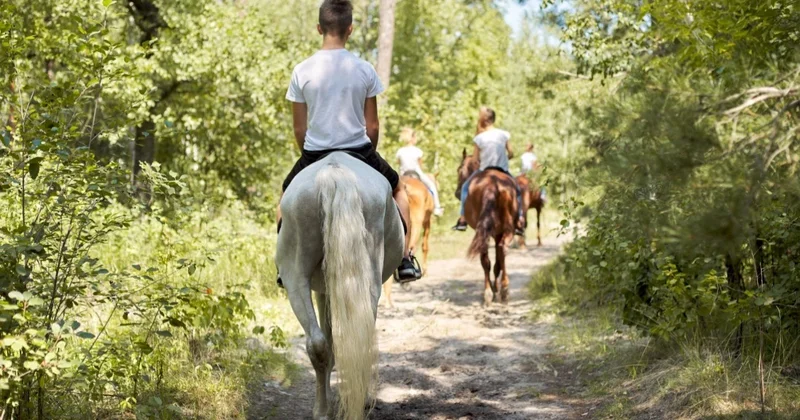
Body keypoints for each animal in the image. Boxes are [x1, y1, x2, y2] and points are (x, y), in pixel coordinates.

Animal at [276, 152, 404, 420]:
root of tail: (334, 173)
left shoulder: (323, 290)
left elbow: (329, 341)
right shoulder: (325, 291)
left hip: (295, 278)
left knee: (317, 344)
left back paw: (322, 410)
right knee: (360, 339)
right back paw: (359, 402)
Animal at [455, 149, 519, 306]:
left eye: (459, 170)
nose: (457, 193)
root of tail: (492, 185)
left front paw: (494, 288)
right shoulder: (496, 233)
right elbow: (497, 261)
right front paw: (496, 287)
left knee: (487, 259)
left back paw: (490, 292)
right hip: (505, 229)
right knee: (501, 250)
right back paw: (502, 290)